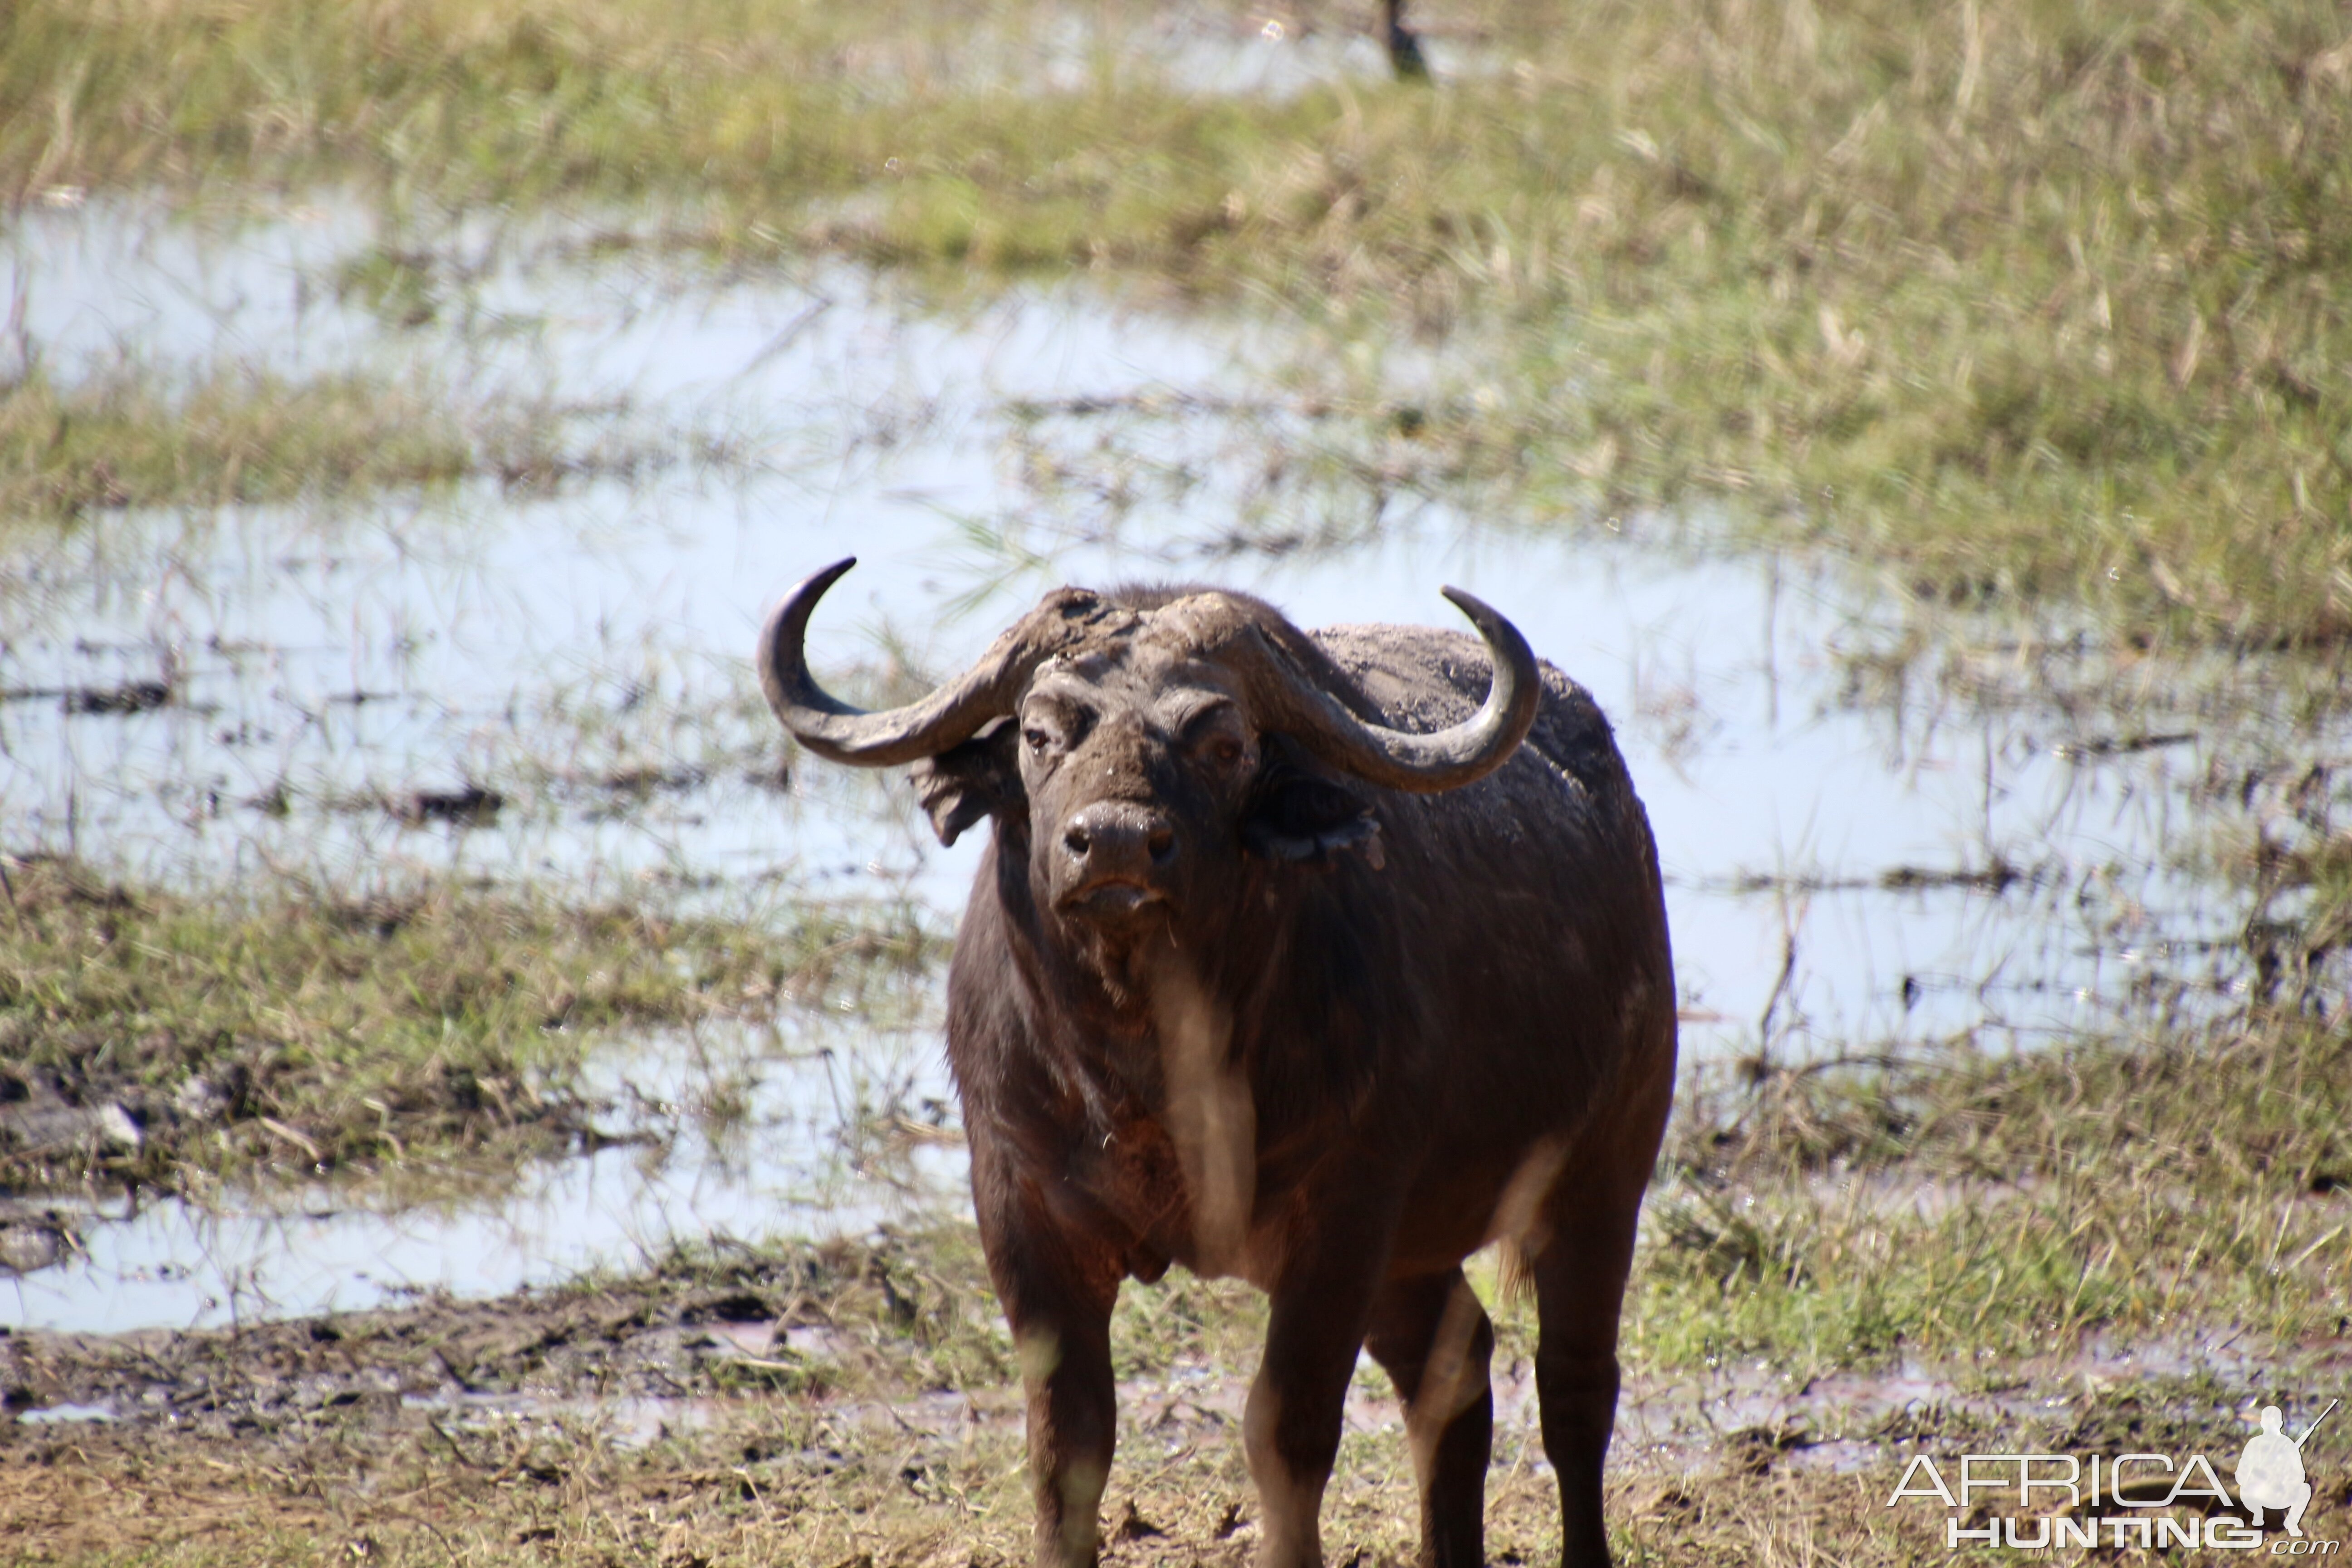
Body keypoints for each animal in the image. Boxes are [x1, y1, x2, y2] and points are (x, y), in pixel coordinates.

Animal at [752, 564, 1675, 1568]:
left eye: (1223, 742)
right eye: (1039, 734)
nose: (1116, 843)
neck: (1146, 1071)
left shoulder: (1342, 1217)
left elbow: (1285, 1429)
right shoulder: (1021, 1208)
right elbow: (1067, 1444)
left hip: (1602, 1171)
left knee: (1573, 1387)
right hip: (1414, 1253)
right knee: (1456, 1372)